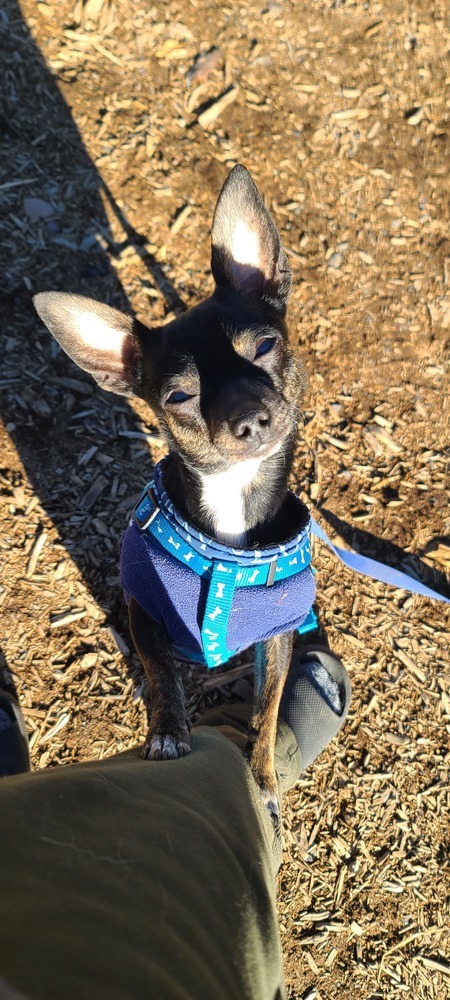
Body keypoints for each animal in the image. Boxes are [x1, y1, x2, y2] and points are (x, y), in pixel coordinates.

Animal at [34, 166, 316, 820]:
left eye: (265, 347)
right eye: (179, 397)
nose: (249, 417)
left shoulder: (279, 637)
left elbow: (267, 709)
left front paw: (262, 775)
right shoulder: (144, 608)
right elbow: (161, 672)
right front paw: (167, 734)